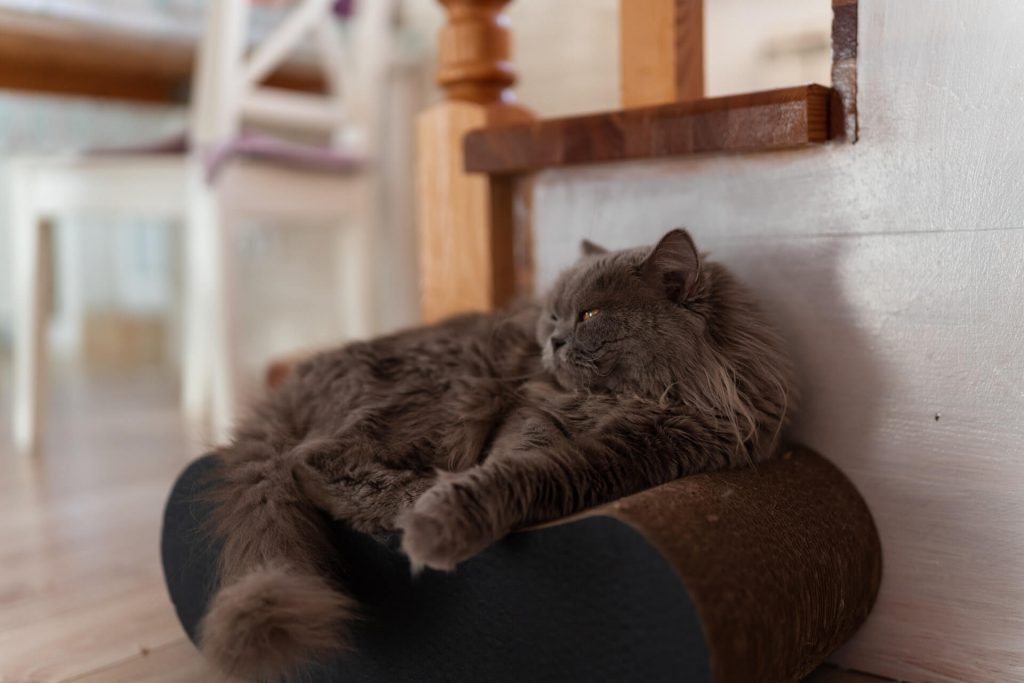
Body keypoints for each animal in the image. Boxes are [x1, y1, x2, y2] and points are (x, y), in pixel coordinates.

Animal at [197, 229, 790, 679]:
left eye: (590, 314)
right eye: (553, 317)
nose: (552, 342)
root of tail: (292, 384)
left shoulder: (637, 454)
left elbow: (531, 475)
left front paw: (445, 518)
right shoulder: (529, 413)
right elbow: (506, 464)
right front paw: (438, 518)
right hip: (448, 396)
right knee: (311, 460)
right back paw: (412, 498)